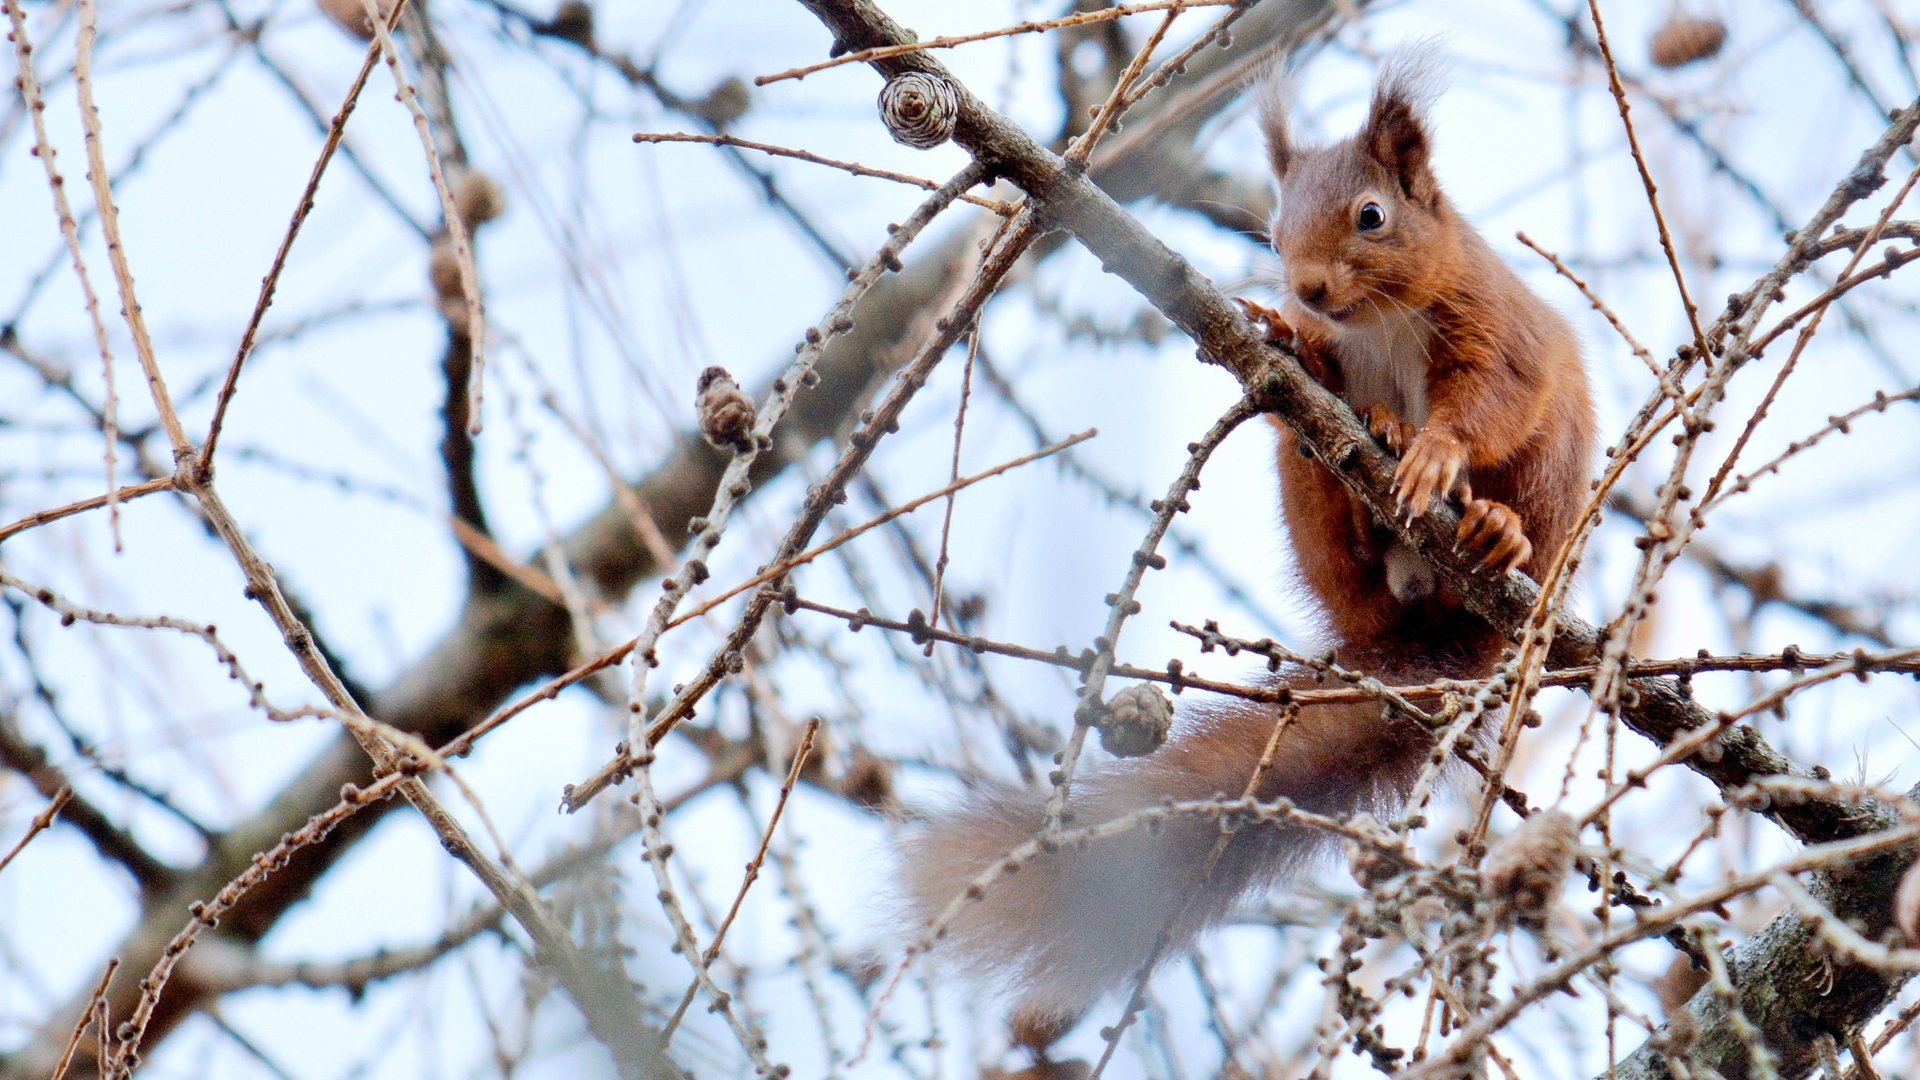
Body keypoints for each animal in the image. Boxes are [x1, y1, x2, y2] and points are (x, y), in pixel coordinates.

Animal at [894, 56, 1589, 1045]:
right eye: (1273, 224)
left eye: (1371, 215)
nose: (1306, 289)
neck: (1378, 321)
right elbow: (1326, 371)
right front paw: (1297, 342)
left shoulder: (1493, 326)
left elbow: (1490, 399)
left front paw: (1437, 452)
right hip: (1319, 525)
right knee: (1331, 503)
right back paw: (1367, 458)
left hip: (1557, 477)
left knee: (1521, 495)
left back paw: (1498, 528)